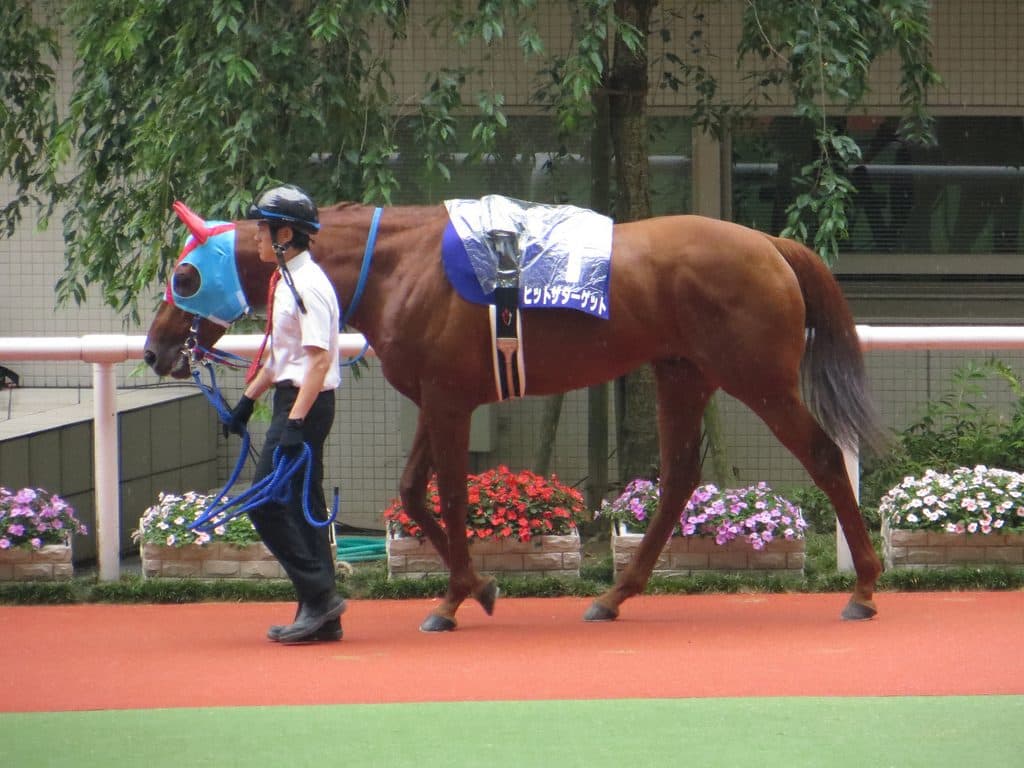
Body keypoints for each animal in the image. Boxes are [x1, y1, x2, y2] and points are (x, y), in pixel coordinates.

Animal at [144, 201, 885, 631]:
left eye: (184, 276)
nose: (154, 349)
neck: (400, 268)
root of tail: (771, 244)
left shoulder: (448, 400)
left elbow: (445, 493)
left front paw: (455, 598)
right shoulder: (435, 398)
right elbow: (411, 492)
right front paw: (479, 587)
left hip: (758, 378)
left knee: (824, 457)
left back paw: (865, 587)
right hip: (681, 373)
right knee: (677, 478)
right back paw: (614, 595)